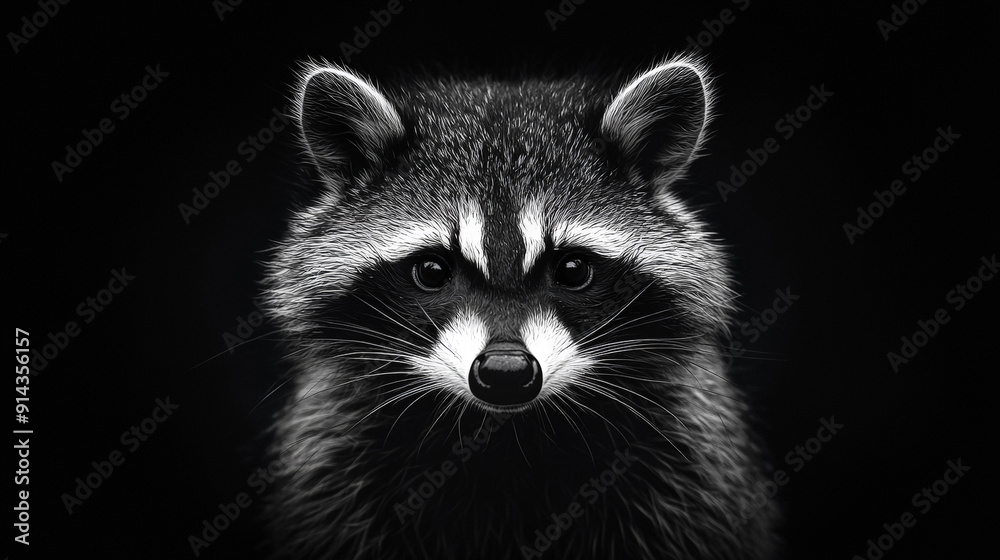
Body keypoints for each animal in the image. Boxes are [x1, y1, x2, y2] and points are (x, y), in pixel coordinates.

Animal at [260, 55, 780, 560]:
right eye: (432, 270)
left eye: (572, 269)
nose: (506, 371)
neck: (505, 436)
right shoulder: (335, 456)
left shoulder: (687, 457)